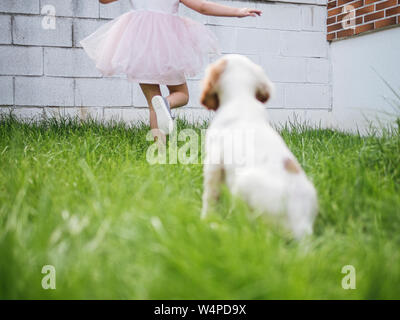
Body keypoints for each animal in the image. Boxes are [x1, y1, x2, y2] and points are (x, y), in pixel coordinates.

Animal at [202, 55, 318, 239]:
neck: (241, 98)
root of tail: (302, 224)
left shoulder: (213, 162)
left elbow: (210, 196)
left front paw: (205, 220)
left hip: (243, 184)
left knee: (247, 226)